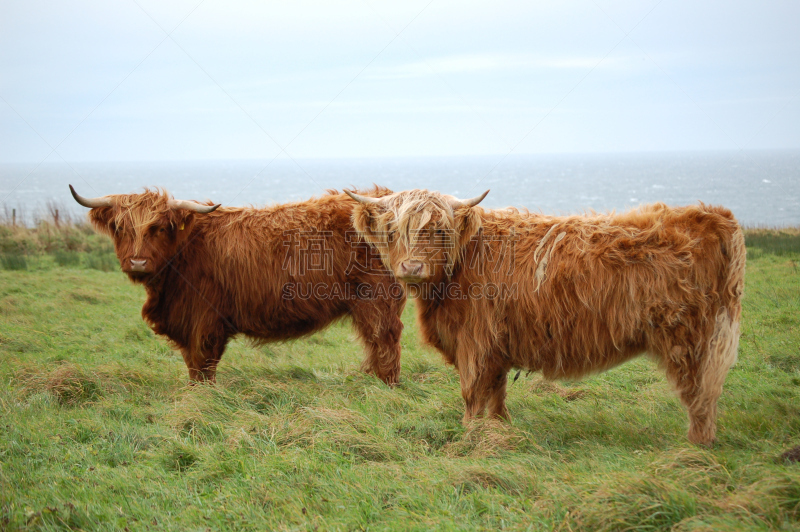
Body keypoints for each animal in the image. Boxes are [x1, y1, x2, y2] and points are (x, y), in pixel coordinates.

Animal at [69, 185, 406, 384]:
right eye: (119, 227)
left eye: (160, 228)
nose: (137, 262)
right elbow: (192, 362)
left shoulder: (204, 319)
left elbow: (202, 361)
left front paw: (201, 395)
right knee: (374, 342)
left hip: (377, 299)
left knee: (384, 340)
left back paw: (384, 386)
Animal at [346, 187, 748, 444]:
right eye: (392, 230)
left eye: (439, 230)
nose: (412, 267)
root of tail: (713, 215)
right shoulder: (496, 346)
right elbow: (496, 393)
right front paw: (500, 431)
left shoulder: (476, 342)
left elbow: (472, 393)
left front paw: (469, 436)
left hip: (692, 338)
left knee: (700, 394)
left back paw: (695, 447)